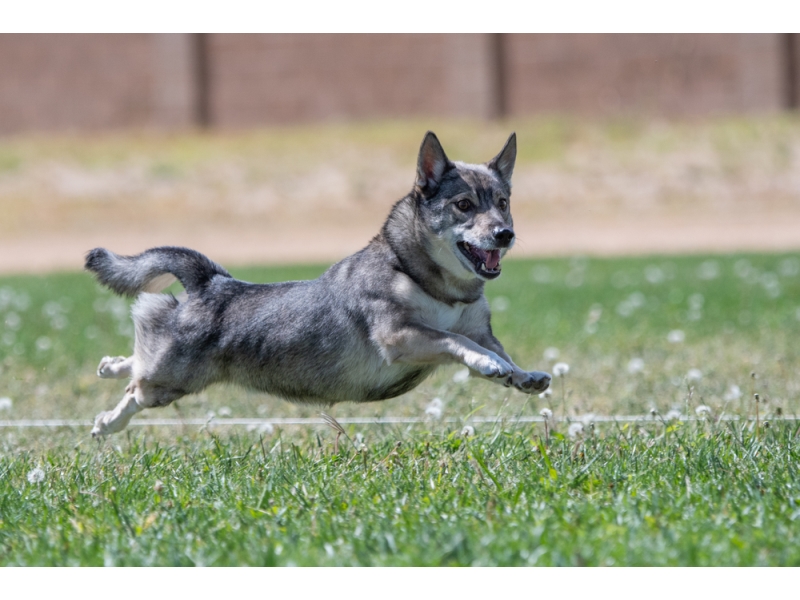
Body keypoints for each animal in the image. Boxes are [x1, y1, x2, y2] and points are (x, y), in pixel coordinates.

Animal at [86, 132, 552, 436]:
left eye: (503, 203)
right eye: (464, 205)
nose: (505, 234)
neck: (431, 282)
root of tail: (211, 282)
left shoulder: (478, 330)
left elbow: (498, 351)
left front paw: (521, 375)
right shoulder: (400, 336)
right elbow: (459, 343)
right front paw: (489, 365)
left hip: (170, 373)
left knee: (137, 361)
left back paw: (109, 365)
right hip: (170, 380)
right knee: (136, 387)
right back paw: (107, 422)